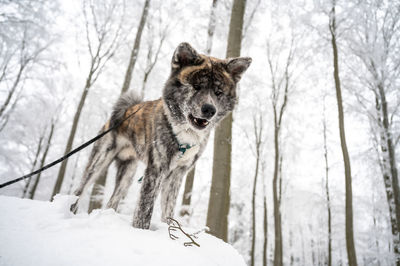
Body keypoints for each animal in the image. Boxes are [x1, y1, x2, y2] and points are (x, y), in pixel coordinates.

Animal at [69, 42, 250, 230]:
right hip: (99, 162)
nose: (209, 110)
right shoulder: (156, 169)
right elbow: (144, 209)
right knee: (79, 190)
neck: (184, 133)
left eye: (218, 92)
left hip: (128, 174)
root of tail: (127, 109)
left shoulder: (177, 175)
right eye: (196, 86)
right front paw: (141, 230)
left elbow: (168, 209)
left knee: (113, 200)